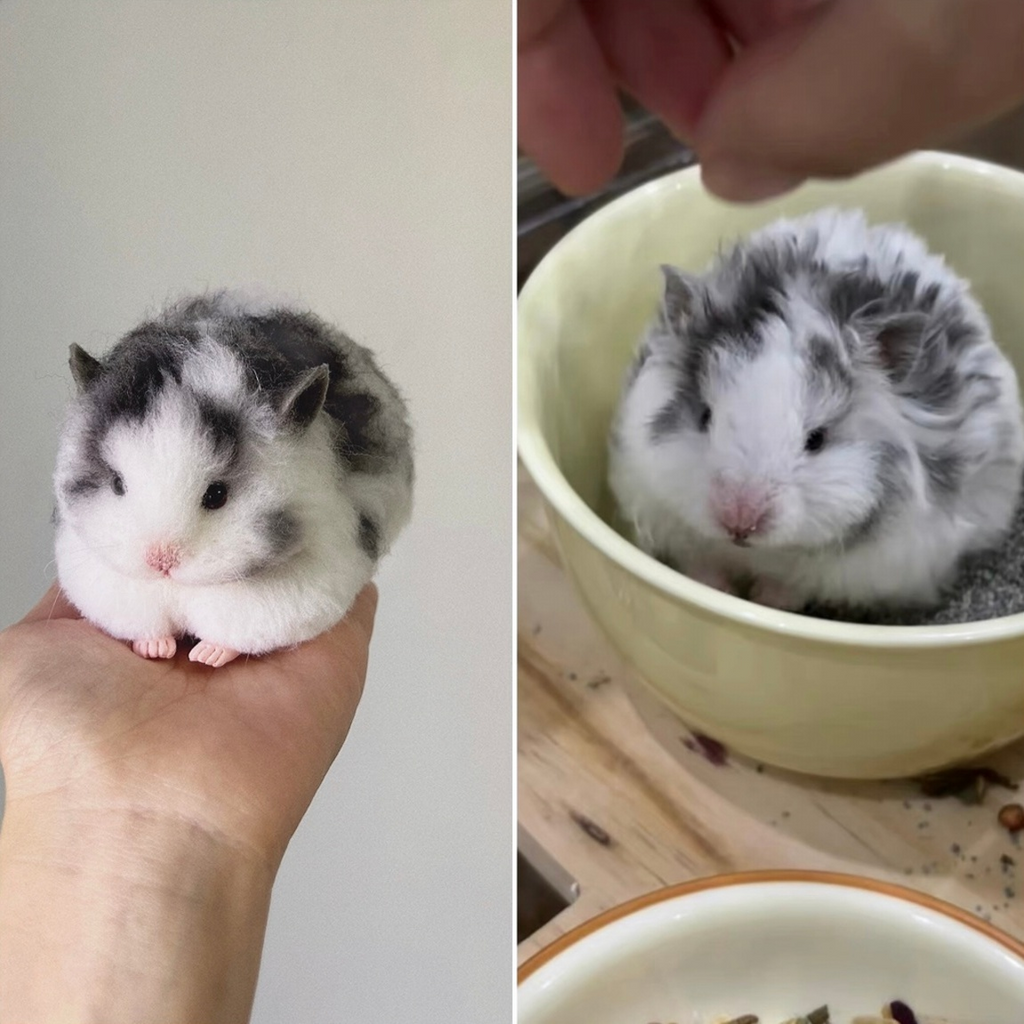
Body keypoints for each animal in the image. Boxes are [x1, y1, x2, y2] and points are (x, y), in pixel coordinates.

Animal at [53, 290, 413, 666]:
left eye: (217, 495)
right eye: (117, 484)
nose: (161, 562)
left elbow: (232, 638)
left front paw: (208, 655)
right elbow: (147, 626)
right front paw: (157, 648)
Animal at [608, 208, 1024, 612]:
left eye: (816, 439)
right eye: (704, 416)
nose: (739, 524)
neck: (754, 553)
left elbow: (796, 584)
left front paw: (765, 599)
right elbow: (702, 564)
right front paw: (718, 590)